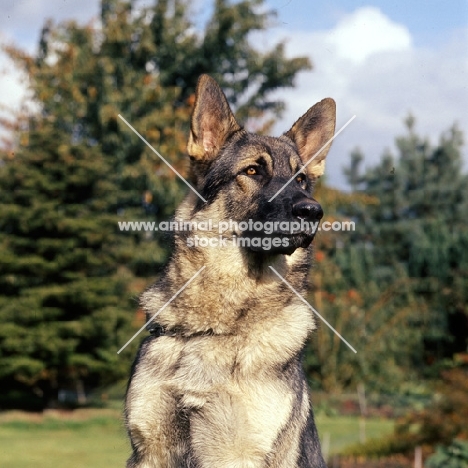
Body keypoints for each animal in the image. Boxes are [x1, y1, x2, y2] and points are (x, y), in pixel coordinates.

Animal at [124, 75, 336, 466]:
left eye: (300, 180)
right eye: (253, 171)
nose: (313, 211)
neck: (215, 329)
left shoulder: (238, 453)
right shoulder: (149, 451)